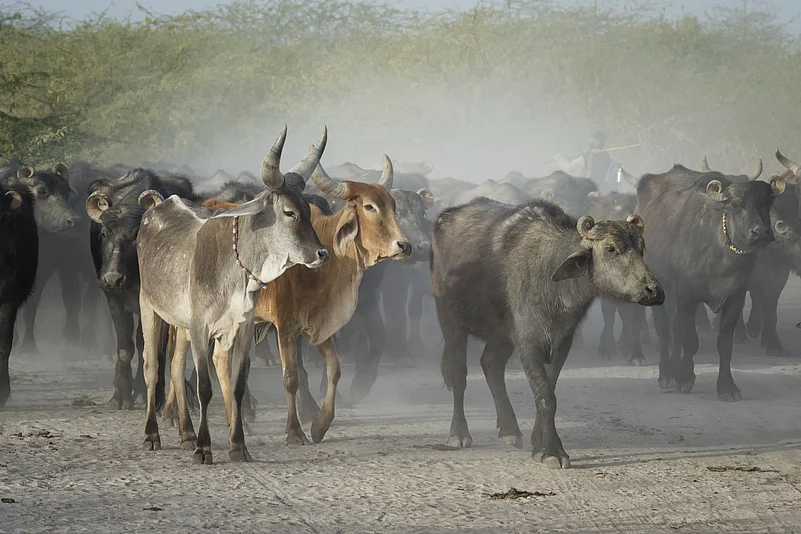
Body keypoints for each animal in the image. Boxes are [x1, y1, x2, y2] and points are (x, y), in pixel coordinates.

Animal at [86, 168, 197, 409]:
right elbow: (125, 348)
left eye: (136, 235)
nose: (112, 278)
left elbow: (152, 346)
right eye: (103, 235)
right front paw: (120, 395)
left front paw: (150, 395)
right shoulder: (114, 298)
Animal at [136, 126, 329, 464]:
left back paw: (186, 434)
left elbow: (237, 385)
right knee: (152, 368)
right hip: (149, 306)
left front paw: (238, 445)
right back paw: (152, 435)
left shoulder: (242, 328)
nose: (321, 253)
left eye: (308, 210)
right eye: (289, 212)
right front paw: (204, 448)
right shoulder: (201, 328)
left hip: (181, 325)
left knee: (176, 367)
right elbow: (204, 387)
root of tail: (157, 206)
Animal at [248, 153, 411, 445]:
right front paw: (294, 430)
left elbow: (334, 368)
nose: (405, 246)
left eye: (392, 206)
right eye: (369, 207)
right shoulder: (285, 326)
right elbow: (291, 376)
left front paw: (320, 424)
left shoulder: (320, 322)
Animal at [430, 197, 663, 468]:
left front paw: (538, 442)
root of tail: (444, 219)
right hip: (451, 323)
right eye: (610, 249)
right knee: (459, 374)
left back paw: (510, 430)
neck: (556, 288)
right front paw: (553, 451)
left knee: (491, 365)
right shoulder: (529, 344)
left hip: (500, 334)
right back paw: (459, 433)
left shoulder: (562, 343)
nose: (654, 290)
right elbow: (545, 397)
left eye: (641, 248)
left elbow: (549, 391)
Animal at [624, 165, 784, 399]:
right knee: (664, 331)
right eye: (736, 204)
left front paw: (727, 387)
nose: (761, 232)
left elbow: (724, 344)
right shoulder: (687, 296)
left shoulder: (736, 297)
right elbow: (690, 341)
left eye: (768, 202)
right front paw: (683, 379)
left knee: (675, 329)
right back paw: (666, 374)